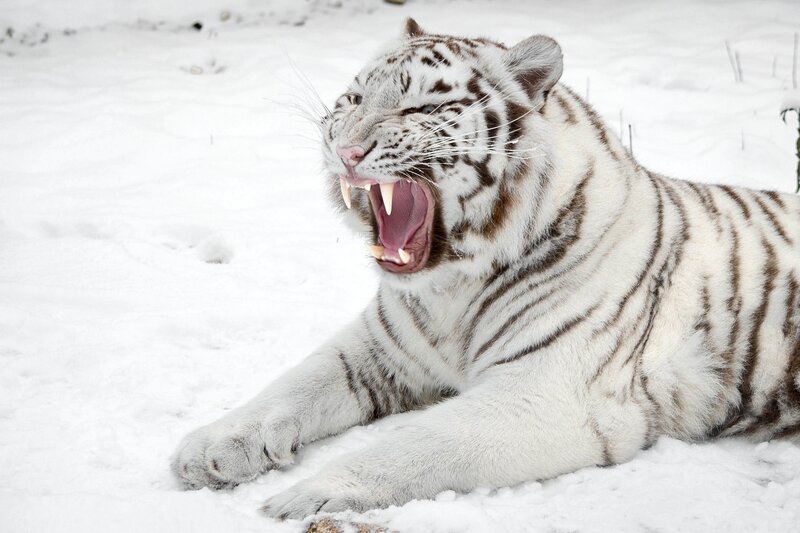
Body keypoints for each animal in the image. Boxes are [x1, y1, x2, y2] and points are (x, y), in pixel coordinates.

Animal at [171, 18, 800, 519]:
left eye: (419, 108)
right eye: (351, 100)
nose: (345, 152)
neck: (451, 288)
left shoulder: (547, 392)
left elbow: (417, 443)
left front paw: (311, 494)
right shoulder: (377, 349)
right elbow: (292, 386)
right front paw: (207, 450)